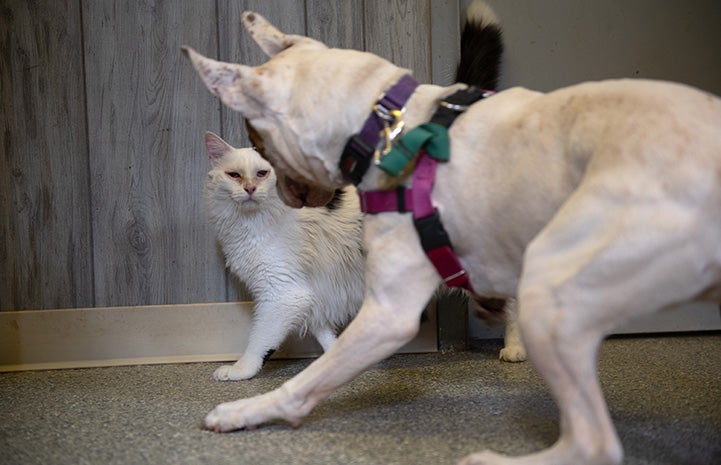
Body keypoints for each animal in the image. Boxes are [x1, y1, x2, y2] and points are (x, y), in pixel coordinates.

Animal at [202, 132, 366, 378]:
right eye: (234, 175)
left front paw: (240, 369)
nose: (249, 188)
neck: (251, 223)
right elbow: (325, 334)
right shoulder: (308, 293)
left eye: (262, 173)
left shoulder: (282, 294)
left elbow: (259, 340)